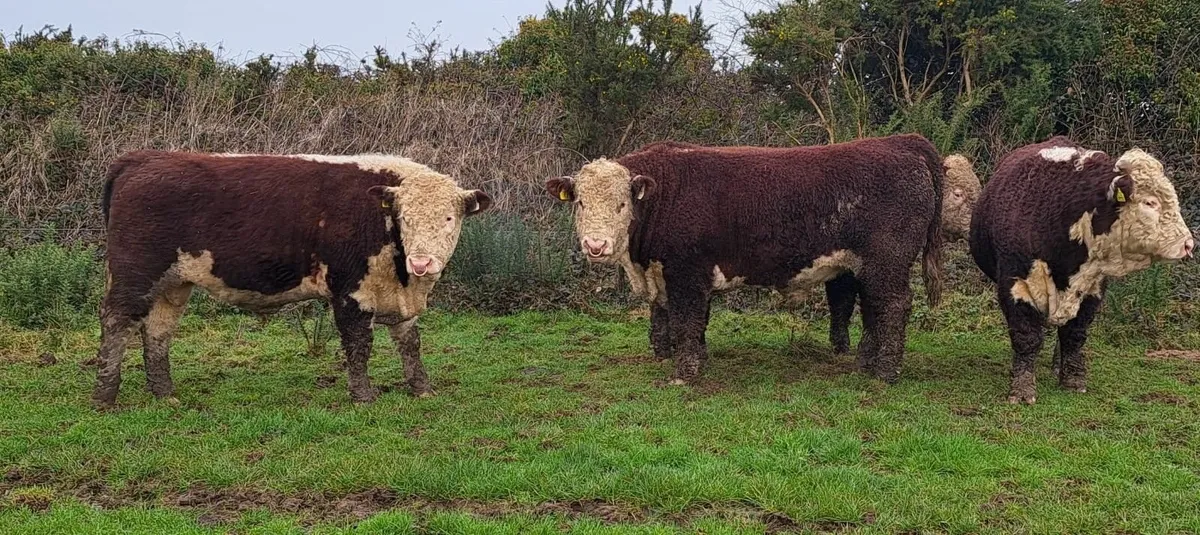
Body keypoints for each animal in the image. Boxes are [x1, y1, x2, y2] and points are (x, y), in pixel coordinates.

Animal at [94, 151, 491, 408]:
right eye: (404, 217)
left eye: (449, 219)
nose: (421, 261)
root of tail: (144, 158)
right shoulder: (350, 290)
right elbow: (358, 343)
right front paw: (363, 396)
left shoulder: (398, 294)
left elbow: (410, 343)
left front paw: (422, 389)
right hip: (134, 272)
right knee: (117, 322)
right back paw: (104, 397)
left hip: (173, 283)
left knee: (157, 330)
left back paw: (165, 395)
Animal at [546, 134, 945, 385]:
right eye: (580, 202)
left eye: (622, 204)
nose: (595, 244)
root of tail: (901, 143)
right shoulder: (667, 273)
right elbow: (671, 316)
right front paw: (676, 355)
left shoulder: (688, 272)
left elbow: (686, 320)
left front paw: (684, 373)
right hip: (868, 266)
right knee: (873, 307)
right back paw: (864, 364)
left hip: (888, 260)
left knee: (893, 306)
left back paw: (885, 373)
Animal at [969, 137, 1194, 404]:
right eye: (1150, 202)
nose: (1189, 244)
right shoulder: (1014, 284)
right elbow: (1026, 336)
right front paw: (1022, 389)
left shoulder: (1093, 286)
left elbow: (1074, 334)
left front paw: (1073, 380)